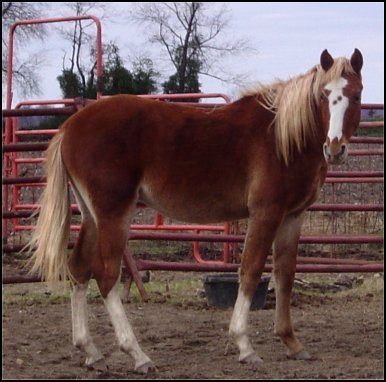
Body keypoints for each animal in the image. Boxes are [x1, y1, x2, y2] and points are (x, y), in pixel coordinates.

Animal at [26, 48, 362, 374]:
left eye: (356, 95)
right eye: (323, 95)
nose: (334, 148)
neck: (283, 138)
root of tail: (69, 127)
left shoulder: (293, 216)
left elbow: (285, 274)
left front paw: (291, 343)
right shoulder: (266, 213)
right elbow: (251, 271)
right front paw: (244, 345)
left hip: (91, 215)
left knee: (78, 269)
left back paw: (91, 352)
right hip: (113, 214)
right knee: (106, 276)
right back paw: (138, 355)